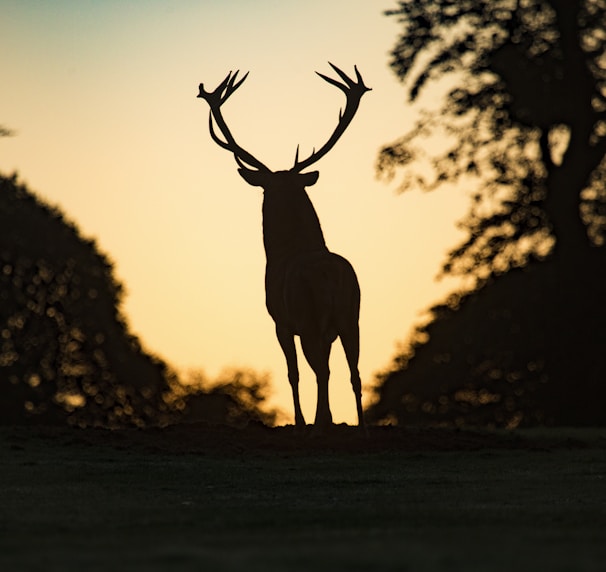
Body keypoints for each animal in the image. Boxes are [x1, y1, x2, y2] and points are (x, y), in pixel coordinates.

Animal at [200, 63, 370, 428]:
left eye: (266, 188)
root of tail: (329, 276)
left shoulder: (279, 320)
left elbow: (293, 373)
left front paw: (302, 420)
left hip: (310, 318)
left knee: (319, 371)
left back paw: (321, 421)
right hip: (352, 315)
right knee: (354, 373)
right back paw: (360, 425)